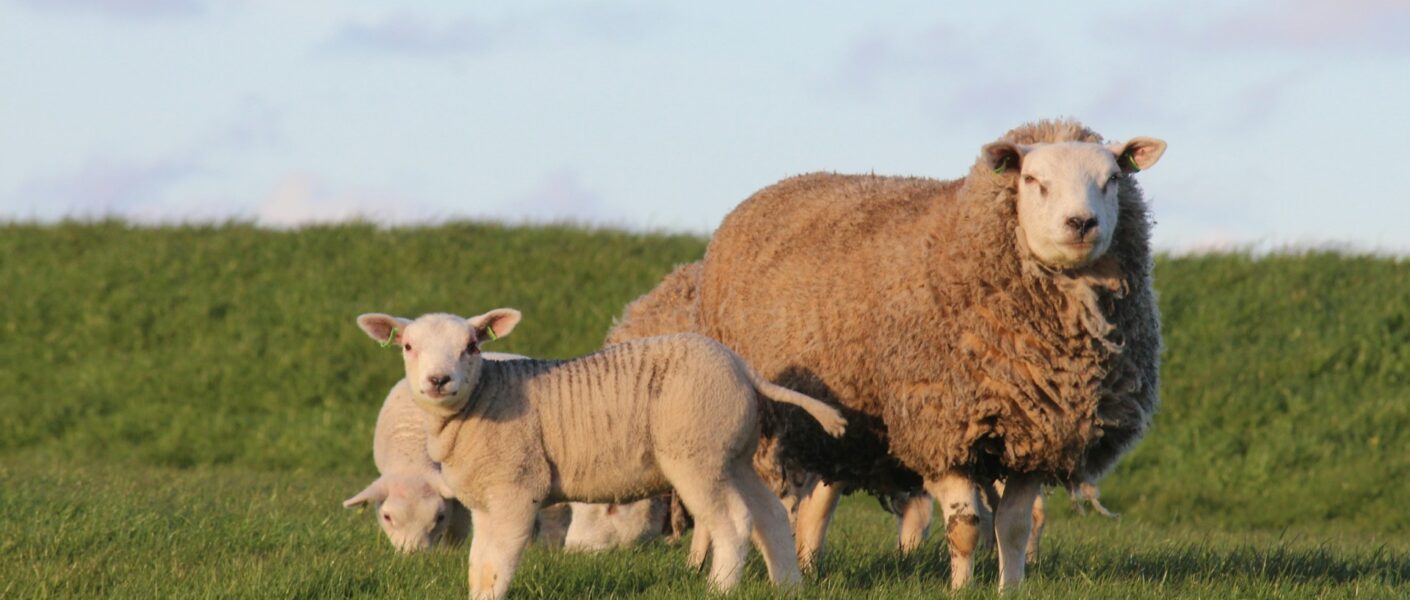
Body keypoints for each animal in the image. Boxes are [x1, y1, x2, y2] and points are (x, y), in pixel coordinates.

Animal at [358, 307, 851, 597]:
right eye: (408, 346)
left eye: (472, 346)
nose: (439, 380)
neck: (483, 399)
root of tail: (742, 367)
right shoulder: (483, 502)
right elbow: (480, 564)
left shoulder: (516, 488)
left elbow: (501, 561)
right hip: (733, 453)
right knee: (770, 515)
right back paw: (788, 585)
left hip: (697, 451)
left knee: (732, 522)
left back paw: (720, 588)